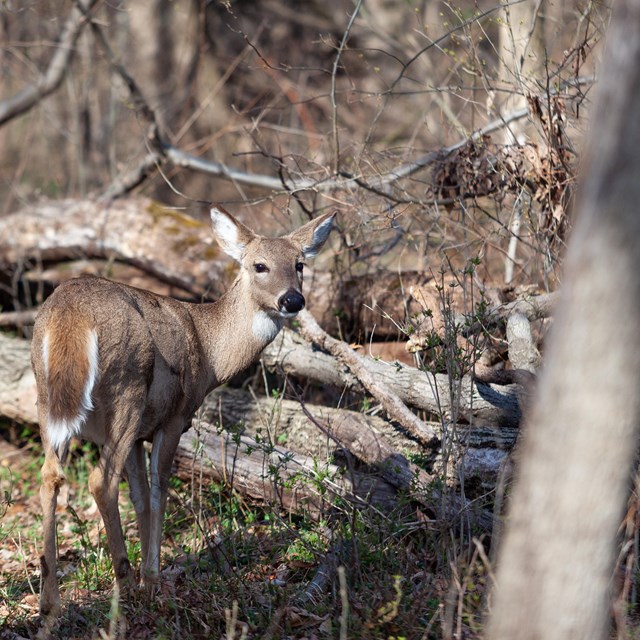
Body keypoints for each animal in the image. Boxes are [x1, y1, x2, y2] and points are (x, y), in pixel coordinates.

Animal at [31, 206, 335, 617]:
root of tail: (70, 315)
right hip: (127, 389)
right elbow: (158, 492)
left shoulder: (141, 433)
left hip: (48, 400)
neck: (210, 353)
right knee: (100, 481)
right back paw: (124, 588)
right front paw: (152, 580)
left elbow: (141, 499)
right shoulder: (173, 418)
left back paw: (51, 603)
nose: (292, 299)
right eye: (259, 265)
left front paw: (148, 574)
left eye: (300, 264)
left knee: (50, 475)